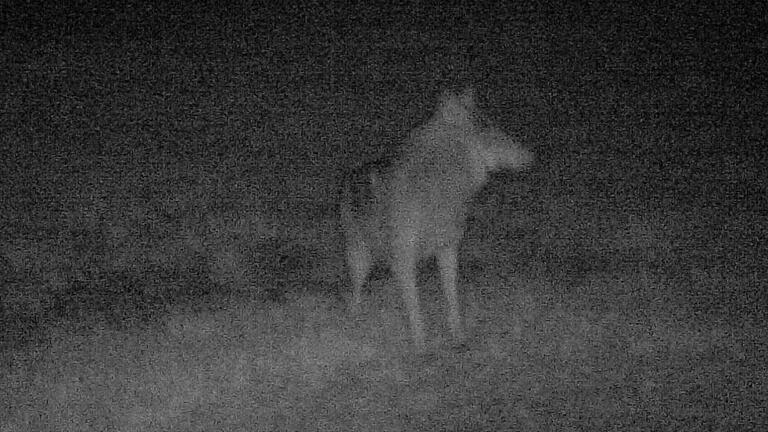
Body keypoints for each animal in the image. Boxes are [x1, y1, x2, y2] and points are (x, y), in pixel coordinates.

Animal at [340, 88, 532, 352]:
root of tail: (349, 176)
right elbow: (415, 308)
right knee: (356, 292)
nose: (531, 155)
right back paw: (355, 319)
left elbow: (452, 299)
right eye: (490, 132)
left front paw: (458, 337)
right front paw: (420, 345)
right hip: (360, 257)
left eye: (497, 129)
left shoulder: (448, 250)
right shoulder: (404, 258)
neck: (443, 185)